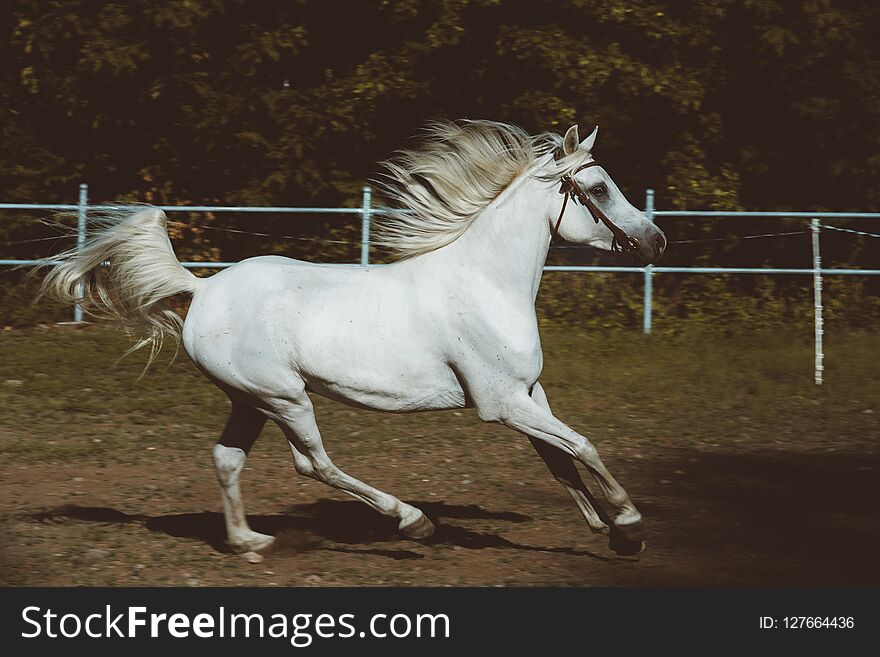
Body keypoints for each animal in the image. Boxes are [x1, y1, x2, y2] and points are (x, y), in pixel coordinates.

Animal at [37, 121, 664, 552]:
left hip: (249, 400)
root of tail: (203, 289)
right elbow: (584, 445)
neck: (486, 283)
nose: (656, 240)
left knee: (227, 459)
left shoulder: (529, 394)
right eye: (599, 189)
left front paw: (606, 530)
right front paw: (629, 524)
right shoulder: (501, 403)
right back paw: (412, 521)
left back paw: (249, 543)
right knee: (314, 464)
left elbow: (560, 459)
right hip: (284, 397)